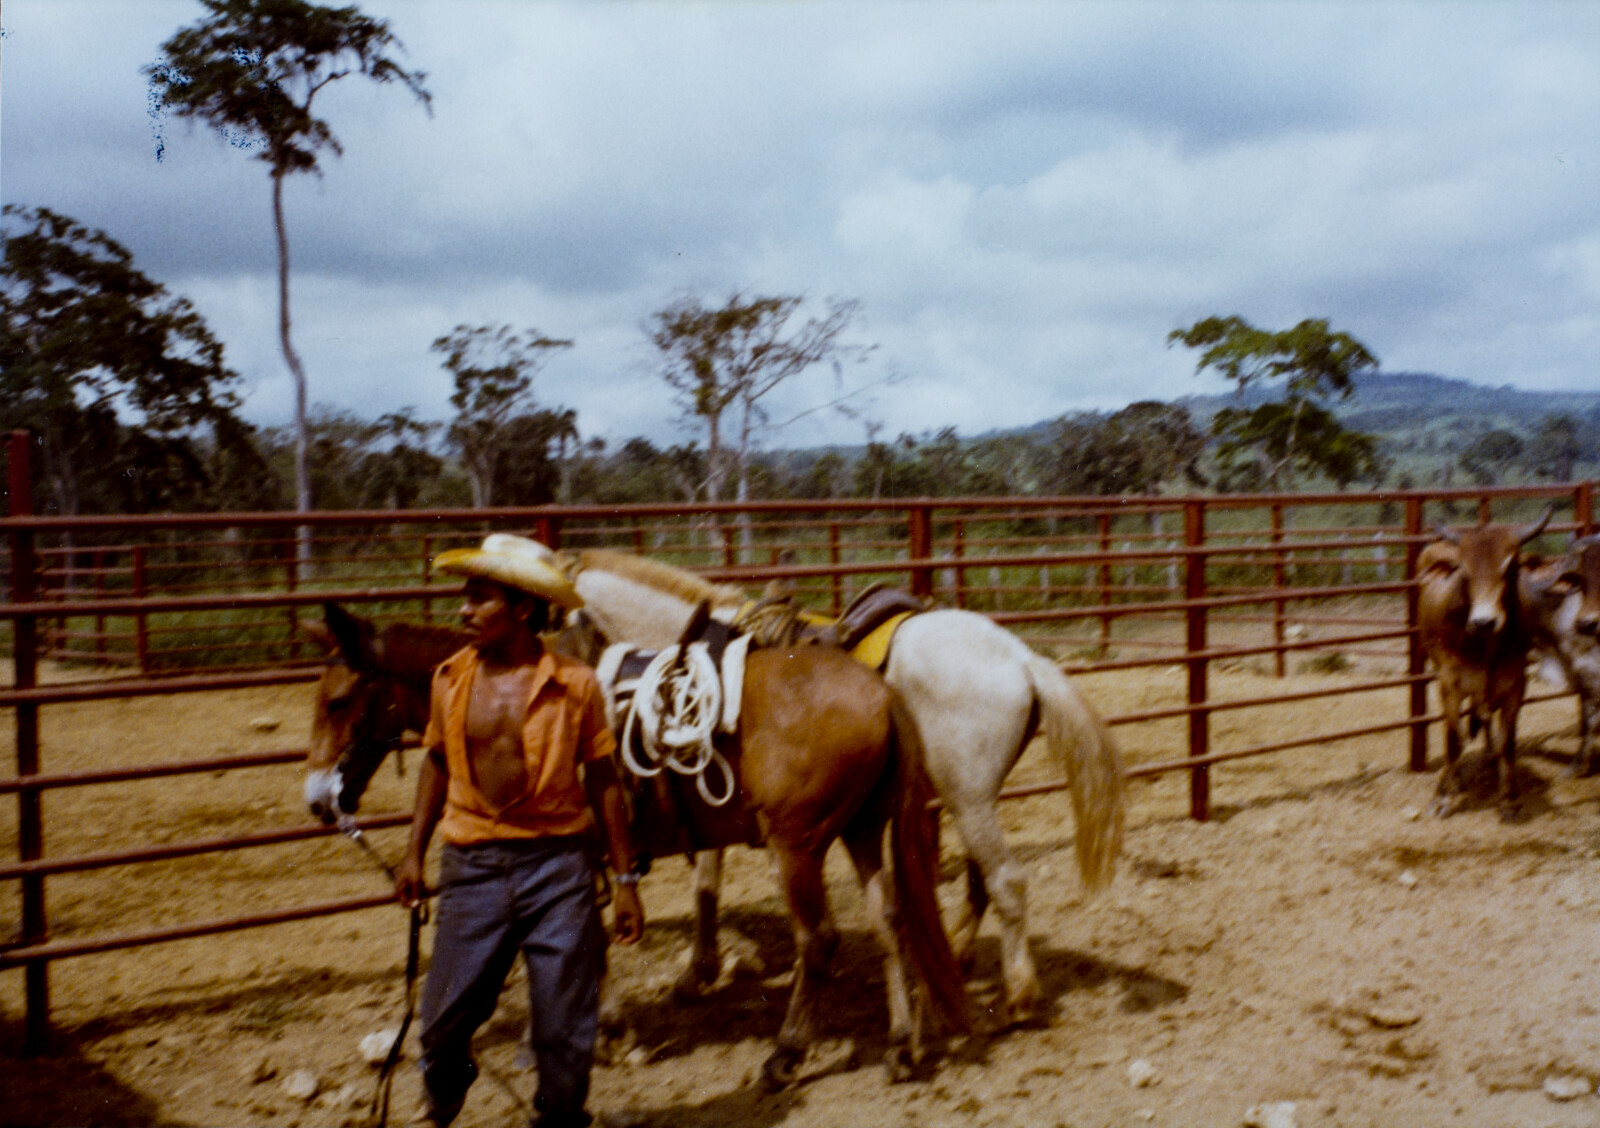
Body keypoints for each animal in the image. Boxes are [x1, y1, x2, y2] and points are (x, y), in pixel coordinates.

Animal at [305, 601, 966, 1088]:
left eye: (337, 700)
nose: (318, 799)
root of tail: (881, 693)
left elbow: (579, 950)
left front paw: (607, 1035)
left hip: (797, 845)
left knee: (819, 941)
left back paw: (785, 1056)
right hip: (860, 829)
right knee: (889, 921)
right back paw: (901, 1048)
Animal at [556, 547, 1132, 1030]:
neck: (696, 658)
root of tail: (1023, 660)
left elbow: (715, 881)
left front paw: (700, 975)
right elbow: (707, 881)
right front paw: (699, 973)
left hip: (968, 799)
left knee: (1006, 882)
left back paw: (1018, 996)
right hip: (975, 797)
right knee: (981, 882)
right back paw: (959, 960)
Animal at [1427, 512, 1548, 819]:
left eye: (1510, 567)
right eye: (1464, 571)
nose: (1483, 621)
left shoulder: (1516, 685)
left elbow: (1508, 742)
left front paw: (1509, 798)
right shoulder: (1449, 683)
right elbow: (1453, 740)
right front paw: (1443, 797)